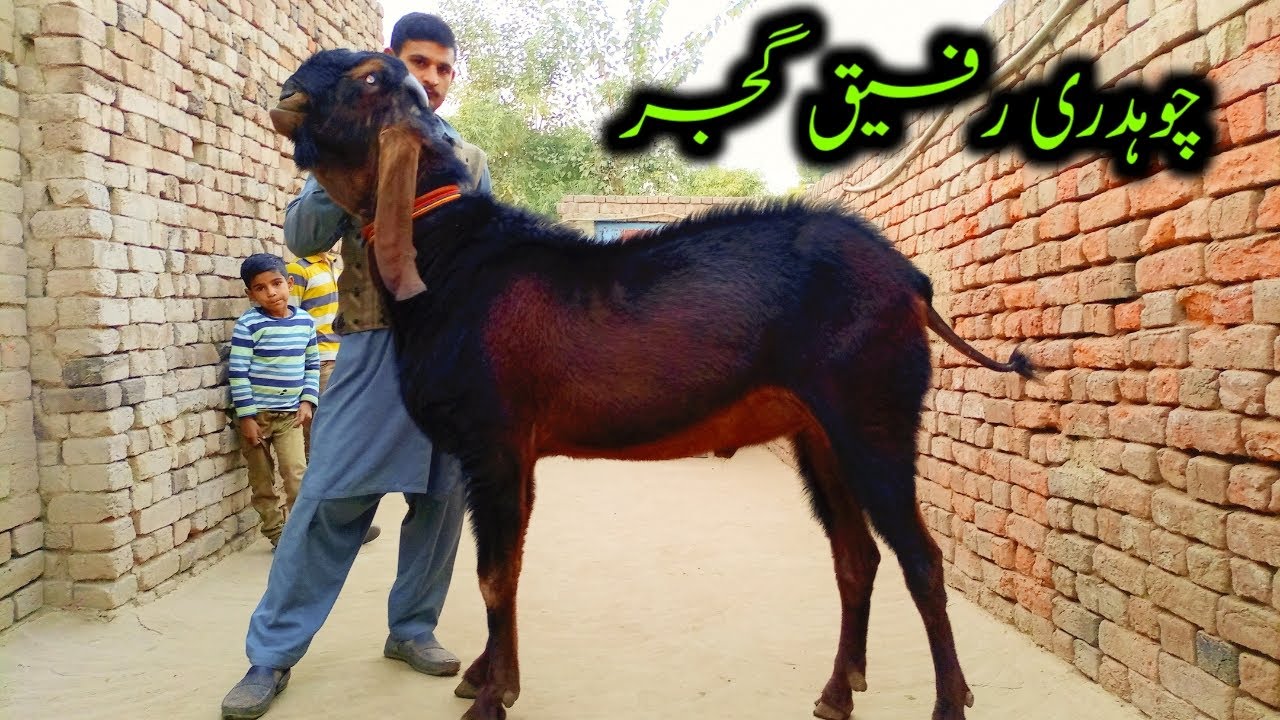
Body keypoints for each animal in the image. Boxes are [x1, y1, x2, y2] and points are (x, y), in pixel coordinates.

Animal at [270, 49, 1034, 720]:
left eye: (370, 77)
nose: (288, 90)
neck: (453, 258)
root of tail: (910, 282)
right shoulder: (515, 454)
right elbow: (507, 565)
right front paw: (489, 677)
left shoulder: (495, 444)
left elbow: (493, 574)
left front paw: (491, 698)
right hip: (820, 433)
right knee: (857, 556)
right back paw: (837, 693)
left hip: (872, 416)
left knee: (921, 560)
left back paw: (947, 703)